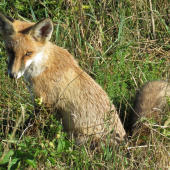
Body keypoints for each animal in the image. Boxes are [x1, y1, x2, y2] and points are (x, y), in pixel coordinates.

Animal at [0, 13, 125, 146]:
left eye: (28, 53)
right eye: (10, 51)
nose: (13, 75)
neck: (42, 65)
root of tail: (123, 142)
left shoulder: (45, 103)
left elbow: (29, 128)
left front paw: (19, 142)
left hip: (78, 138)